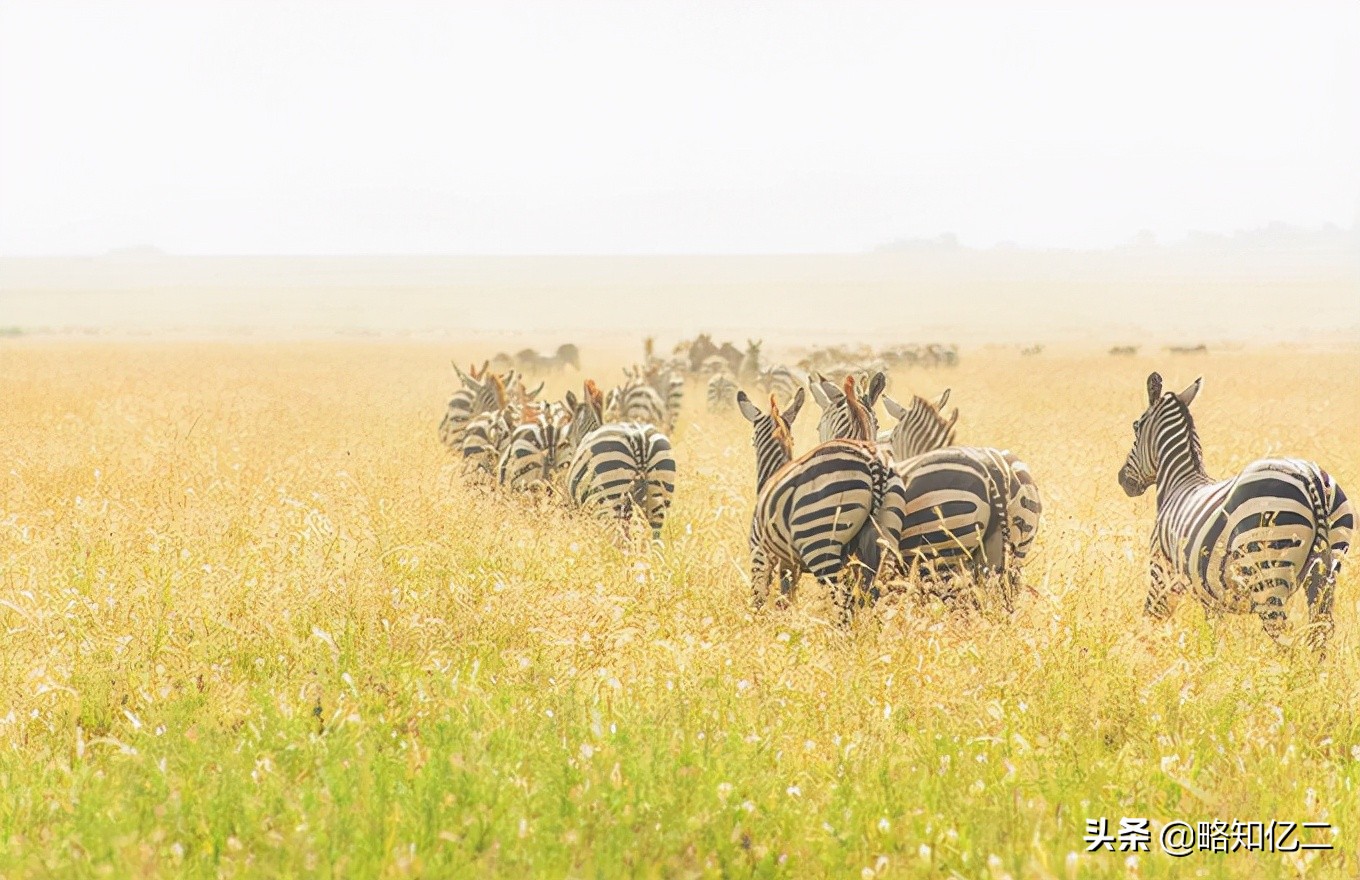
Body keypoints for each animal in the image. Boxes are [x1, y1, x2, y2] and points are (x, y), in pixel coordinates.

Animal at [739, 388, 908, 622]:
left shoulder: (760, 554)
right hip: (884, 541)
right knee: (871, 594)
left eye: (752, 441)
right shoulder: (790, 564)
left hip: (819, 540)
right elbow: (785, 599)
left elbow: (759, 599)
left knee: (843, 601)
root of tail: (872, 461)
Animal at [1115, 367, 1349, 650]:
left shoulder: (1164, 573)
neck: (1178, 481)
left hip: (1266, 572)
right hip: (1327, 571)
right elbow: (1214, 636)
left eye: (1135, 427)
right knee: (1320, 631)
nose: (1122, 480)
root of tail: (1310, 476)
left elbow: (1153, 619)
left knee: (1285, 637)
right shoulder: (1211, 596)